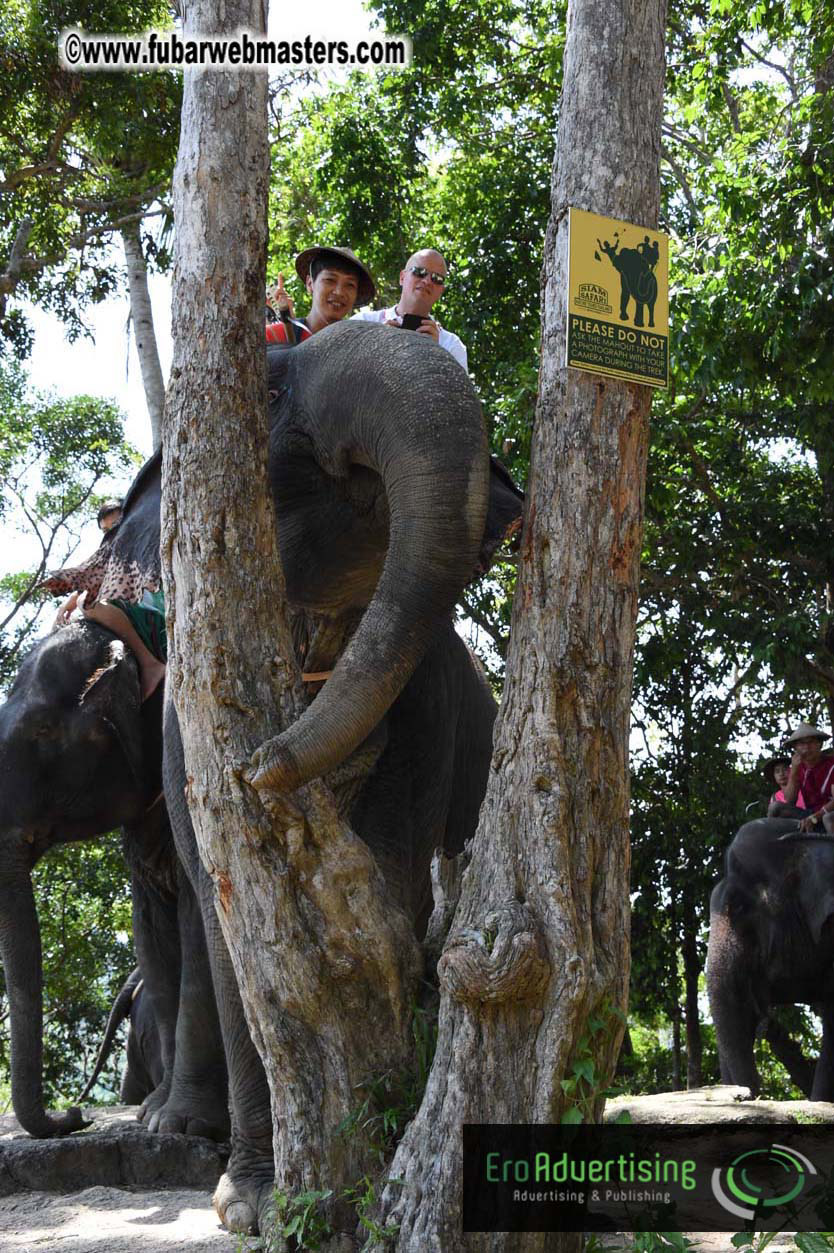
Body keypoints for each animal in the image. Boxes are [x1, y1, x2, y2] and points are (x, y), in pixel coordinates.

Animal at [0, 321, 523, 1233]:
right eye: (269, 395)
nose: (263, 763)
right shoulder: (181, 728)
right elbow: (217, 899)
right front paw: (244, 1196)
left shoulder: (429, 708)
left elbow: (391, 874)